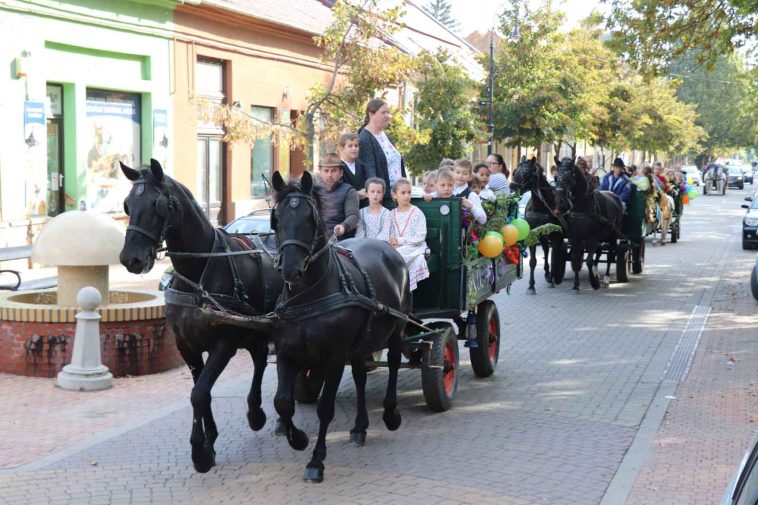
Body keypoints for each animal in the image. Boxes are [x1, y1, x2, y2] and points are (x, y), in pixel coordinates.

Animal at [119, 159, 283, 473]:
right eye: (127, 204)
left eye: (158, 205)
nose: (129, 259)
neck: (199, 273)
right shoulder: (187, 346)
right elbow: (200, 391)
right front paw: (209, 441)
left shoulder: (224, 345)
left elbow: (199, 394)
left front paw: (199, 450)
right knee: (259, 357)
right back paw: (256, 411)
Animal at [270, 170, 409, 483]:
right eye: (277, 218)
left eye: (309, 219)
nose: (290, 270)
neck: (310, 296)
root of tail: (387, 247)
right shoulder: (287, 353)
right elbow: (283, 402)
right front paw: (298, 439)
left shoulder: (334, 356)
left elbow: (325, 408)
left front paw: (316, 461)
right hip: (359, 343)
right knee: (359, 376)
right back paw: (359, 427)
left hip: (398, 328)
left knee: (395, 362)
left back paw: (391, 413)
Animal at [511, 157, 564, 294]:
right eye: (515, 171)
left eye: (528, 173)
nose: (512, 186)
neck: (542, 206)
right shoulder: (533, 234)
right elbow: (532, 261)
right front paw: (531, 286)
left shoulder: (556, 236)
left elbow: (554, 257)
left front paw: (551, 280)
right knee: (545, 249)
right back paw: (546, 272)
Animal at [553, 157, 624, 291]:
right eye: (556, 177)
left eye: (569, 176)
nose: (559, 202)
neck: (582, 206)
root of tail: (614, 195)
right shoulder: (575, 238)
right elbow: (576, 260)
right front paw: (576, 284)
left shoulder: (593, 237)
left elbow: (589, 261)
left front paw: (594, 282)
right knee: (599, 252)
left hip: (612, 235)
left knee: (611, 254)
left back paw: (606, 278)